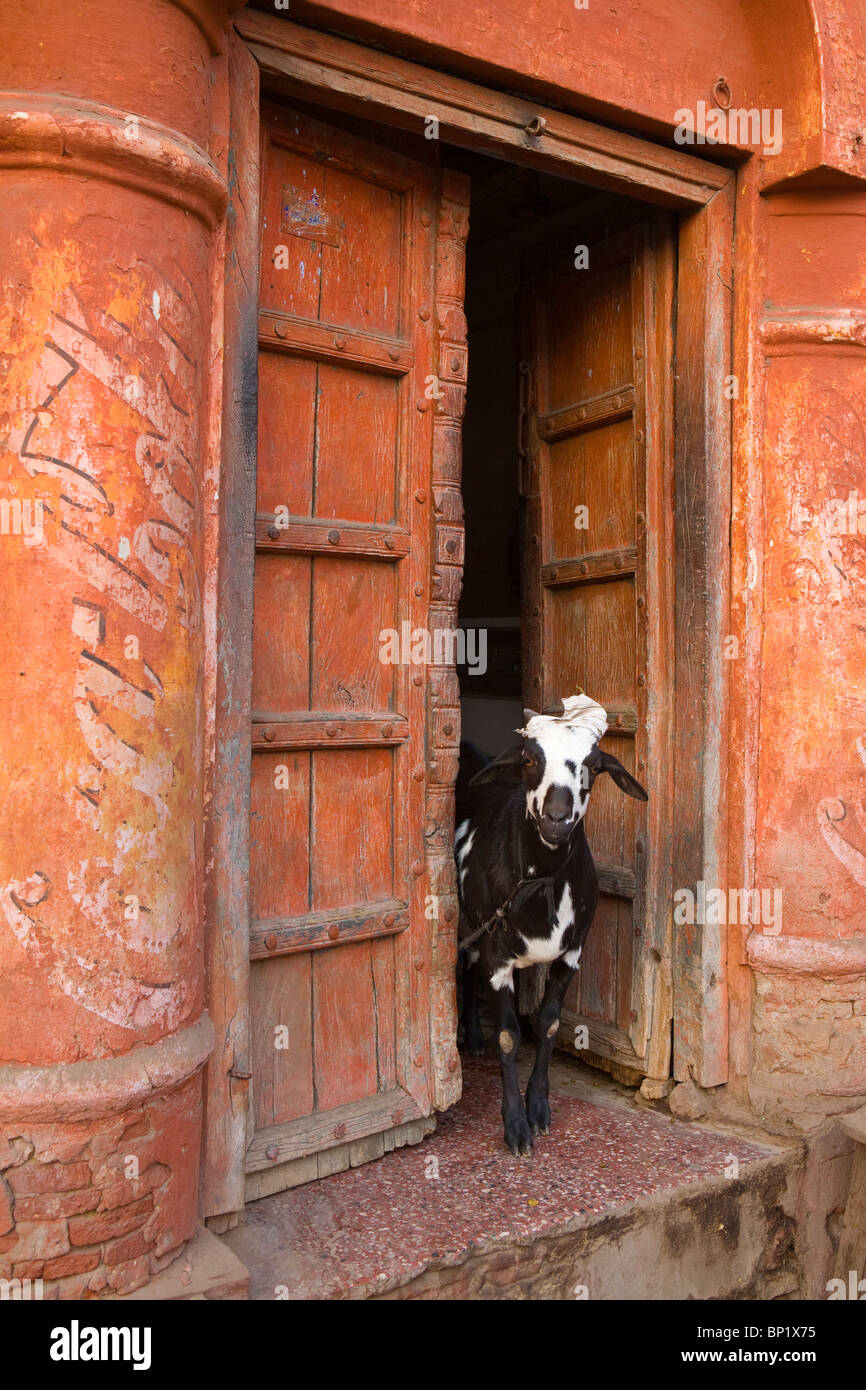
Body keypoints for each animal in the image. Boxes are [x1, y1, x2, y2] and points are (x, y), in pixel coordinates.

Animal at [458, 689, 647, 1156]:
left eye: (593, 766)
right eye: (529, 758)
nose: (556, 818)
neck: (538, 879)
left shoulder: (571, 954)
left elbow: (549, 1026)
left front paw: (539, 1109)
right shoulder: (499, 955)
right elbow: (509, 1036)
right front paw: (515, 1126)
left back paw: (473, 1037)